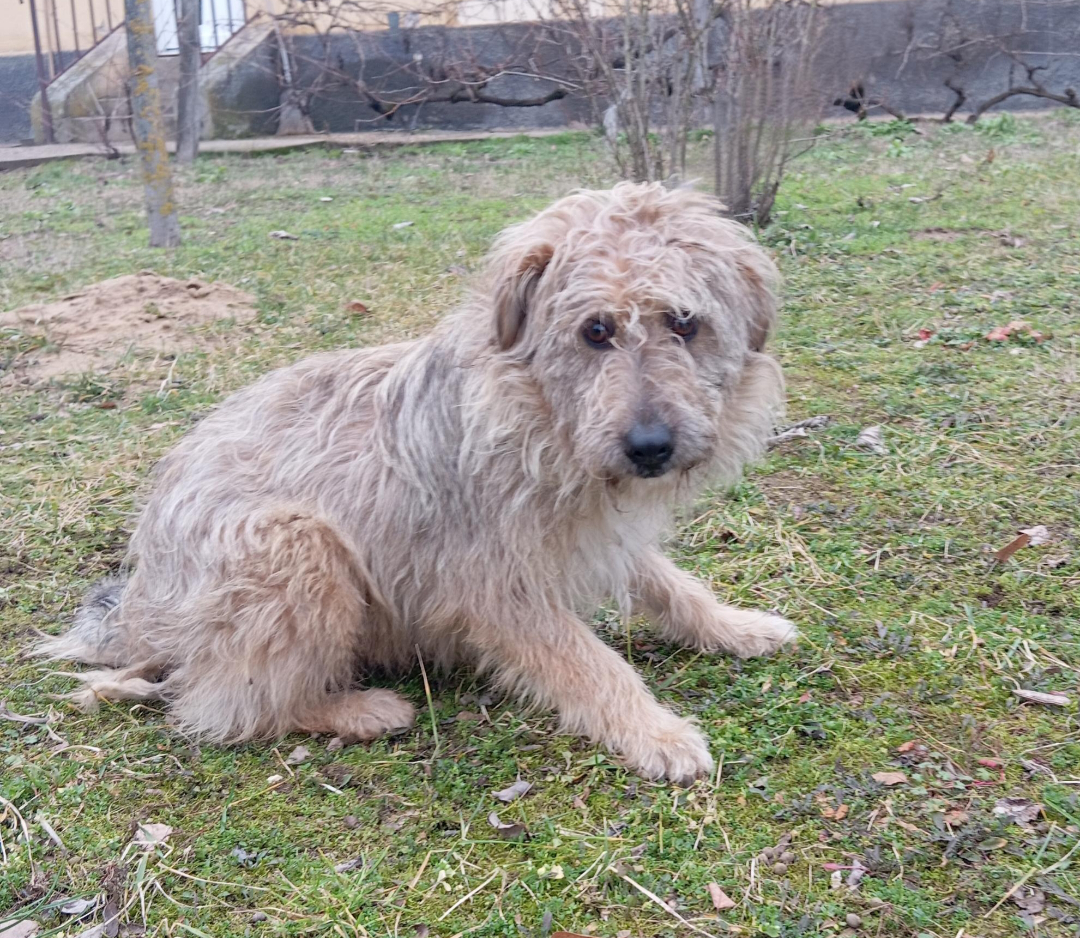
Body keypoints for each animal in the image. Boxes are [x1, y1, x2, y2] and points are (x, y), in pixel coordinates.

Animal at [38, 181, 795, 783]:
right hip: (296, 546)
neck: (538, 419)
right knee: (225, 707)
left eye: (684, 322)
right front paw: (654, 730)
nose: (649, 448)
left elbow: (671, 584)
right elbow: (591, 662)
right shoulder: (498, 586)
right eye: (596, 330)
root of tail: (136, 611)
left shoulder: (598, 534)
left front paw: (735, 626)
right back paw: (356, 709)